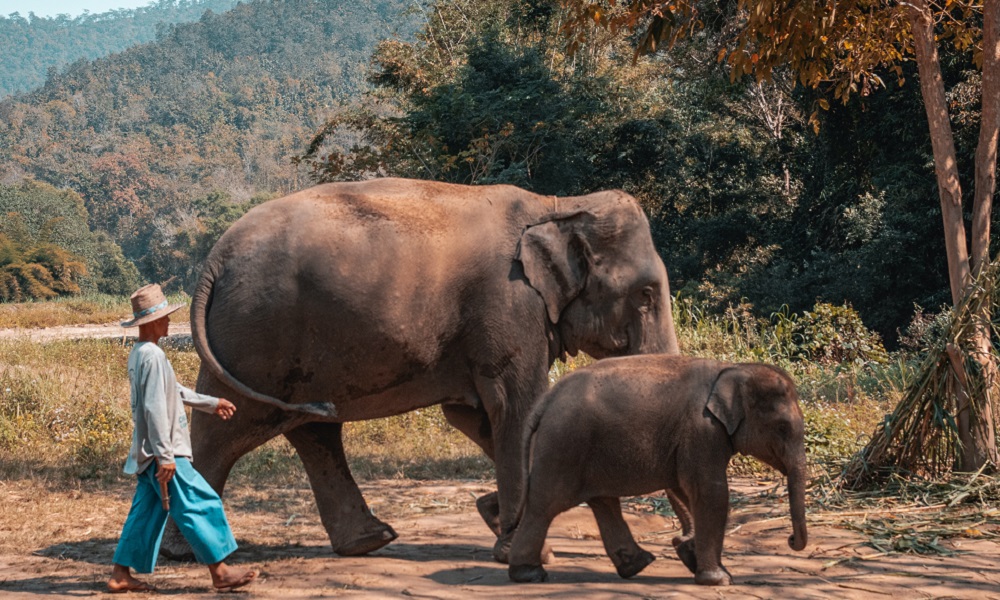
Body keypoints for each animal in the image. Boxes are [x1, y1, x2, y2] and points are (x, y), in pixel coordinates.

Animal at [162, 176, 680, 560]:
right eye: (646, 295)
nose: (680, 546)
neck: (559, 204)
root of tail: (213, 261)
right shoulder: (508, 306)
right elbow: (516, 407)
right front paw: (518, 544)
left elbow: (475, 415)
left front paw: (495, 517)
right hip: (258, 336)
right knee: (227, 429)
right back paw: (187, 554)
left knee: (311, 428)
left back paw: (369, 541)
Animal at [504, 354, 808, 584]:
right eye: (783, 428)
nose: (791, 538)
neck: (732, 368)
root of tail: (547, 399)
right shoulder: (703, 430)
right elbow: (711, 492)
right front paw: (719, 579)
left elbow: (685, 489)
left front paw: (691, 556)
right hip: (564, 445)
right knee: (545, 505)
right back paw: (528, 574)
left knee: (602, 502)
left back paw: (637, 565)